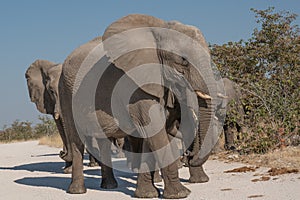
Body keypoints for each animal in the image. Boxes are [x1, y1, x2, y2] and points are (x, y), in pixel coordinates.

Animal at [57, 14, 220, 198]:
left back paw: (109, 186)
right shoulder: (133, 83)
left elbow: (150, 133)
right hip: (66, 92)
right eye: (183, 60)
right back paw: (77, 191)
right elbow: (153, 128)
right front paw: (180, 194)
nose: (188, 156)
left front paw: (147, 194)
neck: (158, 31)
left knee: (103, 141)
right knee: (76, 138)